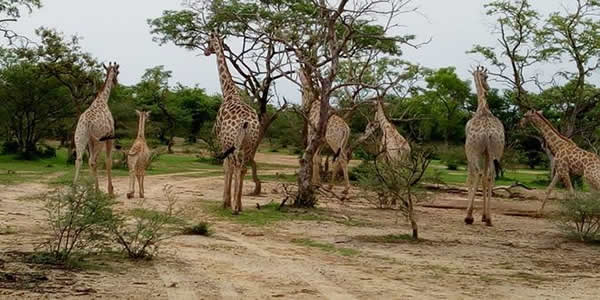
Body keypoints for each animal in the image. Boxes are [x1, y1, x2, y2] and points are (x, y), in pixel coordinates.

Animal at [72, 62, 119, 197]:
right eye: (117, 72)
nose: (116, 82)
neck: (103, 99)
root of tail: (87, 123)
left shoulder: (90, 141)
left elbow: (91, 162)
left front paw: (94, 189)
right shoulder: (110, 136)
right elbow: (108, 161)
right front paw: (110, 191)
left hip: (80, 137)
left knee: (80, 160)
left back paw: (75, 189)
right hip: (99, 140)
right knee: (93, 161)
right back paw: (92, 191)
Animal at [204, 32, 260, 213]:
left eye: (208, 41)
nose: (206, 51)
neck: (229, 93)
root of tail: (247, 122)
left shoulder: (222, 140)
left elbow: (225, 167)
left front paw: (225, 202)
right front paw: (230, 201)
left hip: (233, 141)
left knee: (235, 165)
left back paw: (234, 206)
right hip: (249, 143)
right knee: (243, 167)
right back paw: (239, 205)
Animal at [464, 65, 506, 225]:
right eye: (486, 77)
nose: (488, 87)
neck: (482, 108)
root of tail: (488, 133)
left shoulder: (471, 152)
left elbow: (470, 177)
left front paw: (473, 214)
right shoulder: (487, 153)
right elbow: (486, 179)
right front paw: (483, 215)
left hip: (473, 151)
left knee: (478, 172)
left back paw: (468, 216)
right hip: (496, 150)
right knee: (491, 175)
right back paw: (489, 218)